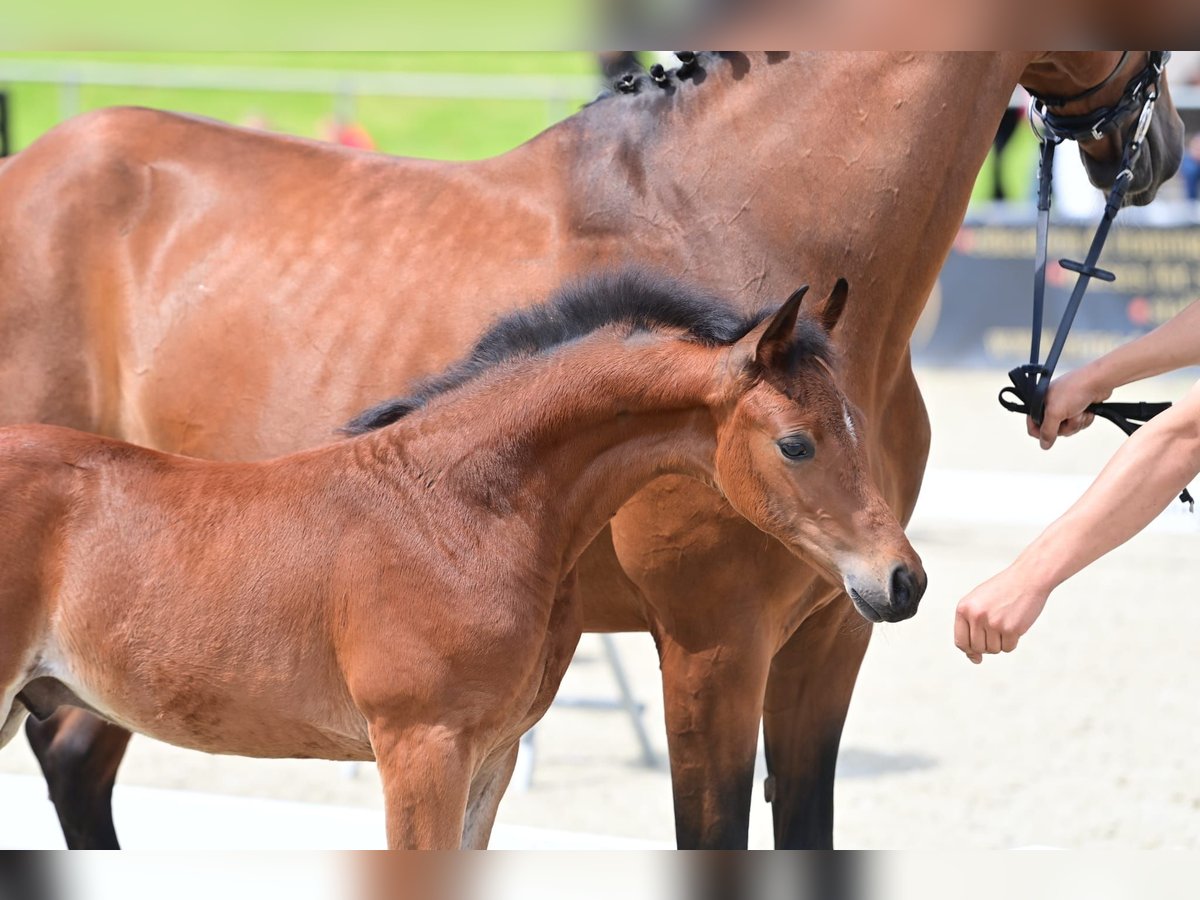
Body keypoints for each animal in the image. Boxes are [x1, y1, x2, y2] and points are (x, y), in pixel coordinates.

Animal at [0, 273, 921, 844]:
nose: (901, 581)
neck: (454, 510)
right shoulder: (421, 747)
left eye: (857, 423)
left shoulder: (492, 755)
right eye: (796, 443)